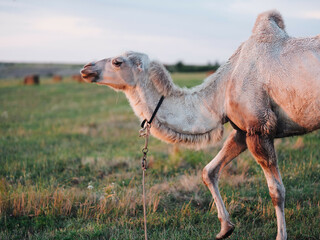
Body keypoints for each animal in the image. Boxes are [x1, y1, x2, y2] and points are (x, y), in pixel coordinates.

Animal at [80, 10, 320, 240]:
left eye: (117, 62)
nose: (86, 68)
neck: (220, 93)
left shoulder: (259, 128)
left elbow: (276, 191)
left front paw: (281, 235)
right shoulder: (242, 131)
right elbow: (209, 172)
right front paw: (225, 228)